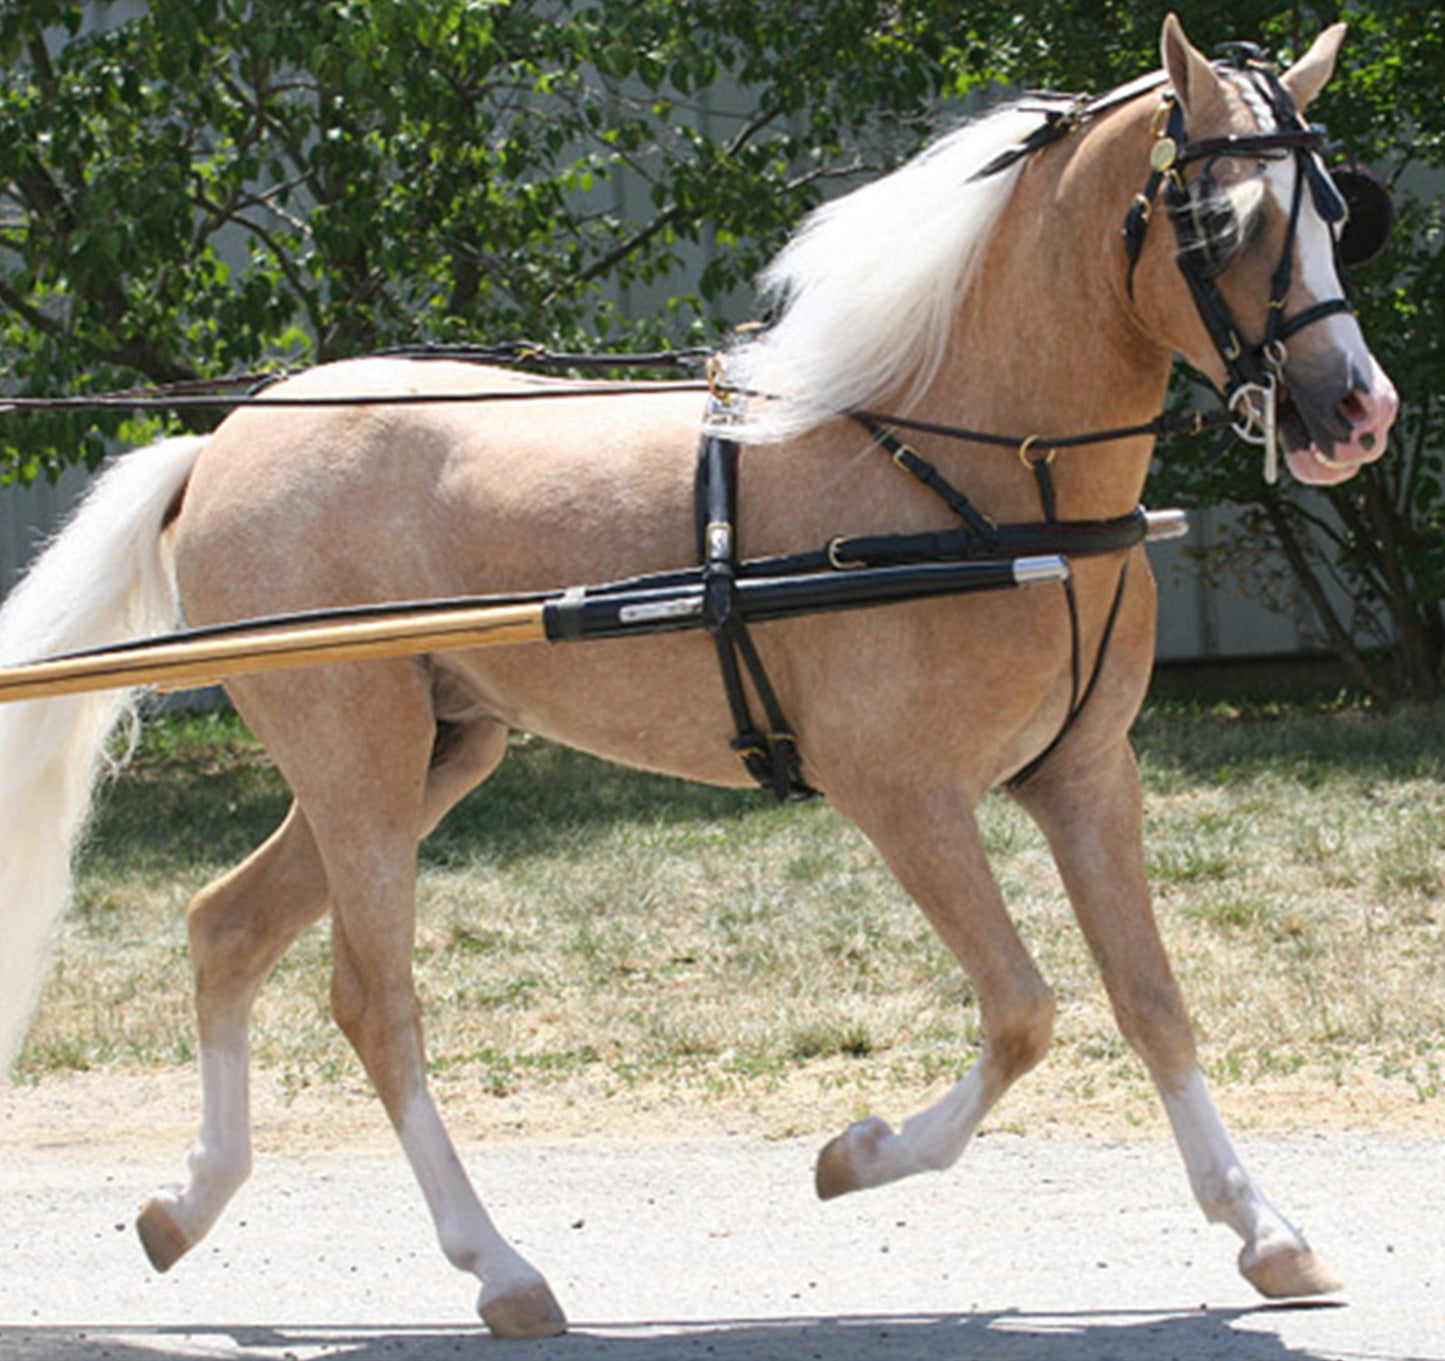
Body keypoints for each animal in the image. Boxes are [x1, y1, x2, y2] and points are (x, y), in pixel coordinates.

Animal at [0, 15, 1399, 1338]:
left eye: (1338, 213)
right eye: (1221, 219)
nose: (1357, 412)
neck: (973, 475)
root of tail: (220, 444)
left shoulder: (1086, 777)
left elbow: (1149, 1000)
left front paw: (1265, 1231)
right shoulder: (901, 794)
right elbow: (1021, 1010)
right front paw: (857, 1153)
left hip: (430, 753)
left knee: (225, 927)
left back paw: (185, 1205)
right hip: (358, 763)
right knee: (372, 1001)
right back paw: (498, 1268)